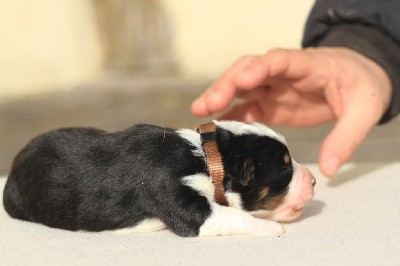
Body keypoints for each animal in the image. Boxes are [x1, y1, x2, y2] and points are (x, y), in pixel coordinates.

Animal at [3, 121, 316, 237]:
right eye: (285, 169)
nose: (314, 180)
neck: (207, 158)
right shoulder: (178, 196)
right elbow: (231, 215)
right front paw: (269, 227)